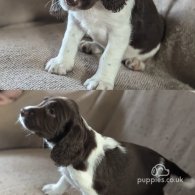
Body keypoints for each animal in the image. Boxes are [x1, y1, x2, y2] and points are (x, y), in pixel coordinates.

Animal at [18, 96, 195, 194]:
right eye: (43, 101)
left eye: (52, 112)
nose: (22, 110)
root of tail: (166, 160)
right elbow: (64, 180)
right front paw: (53, 190)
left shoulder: (93, 191)